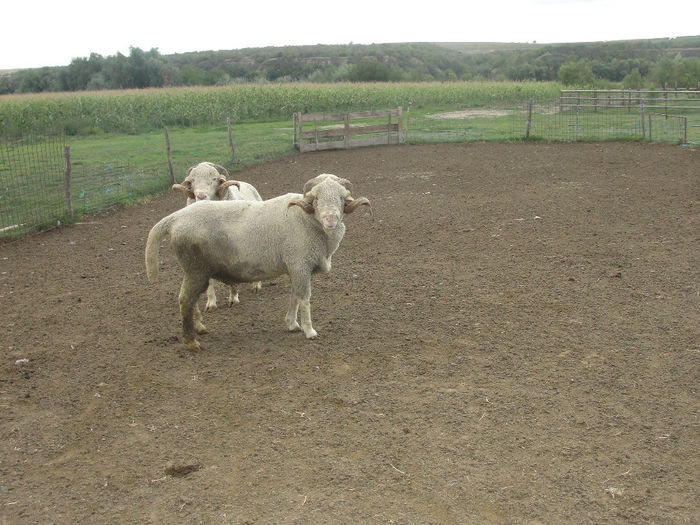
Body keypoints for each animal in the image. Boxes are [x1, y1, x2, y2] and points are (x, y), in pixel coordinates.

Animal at [144, 174, 370, 350]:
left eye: (341, 198)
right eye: (315, 199)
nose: (331, 219)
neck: (308, 221)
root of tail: (176, 218)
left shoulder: (295, 267)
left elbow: (294, 297)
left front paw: (291, 324)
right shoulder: (300, 264)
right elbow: (304, 298)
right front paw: (309, 330)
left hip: (193, 269)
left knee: (190, 301)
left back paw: (199, 328)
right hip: (196, 268)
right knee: (185, 300)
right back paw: (191, 342)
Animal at [172, 159, 262, 308]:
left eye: (214, 179)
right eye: (192, 180)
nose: (201, 196)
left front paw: (233, 298)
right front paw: (211, 303)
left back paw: (256, 285)